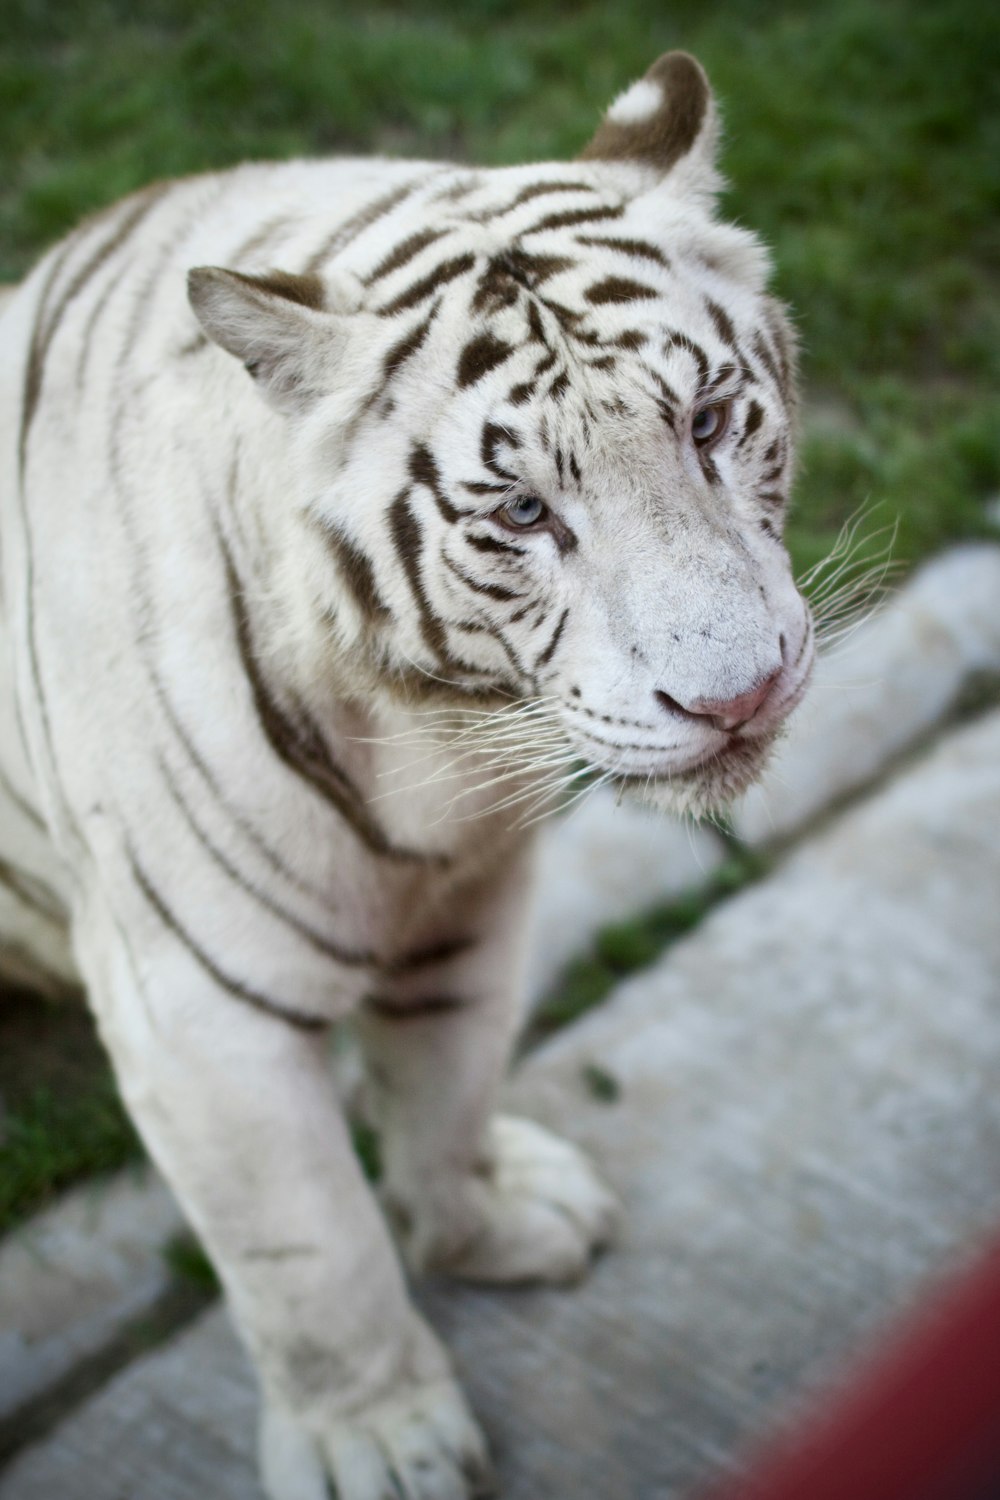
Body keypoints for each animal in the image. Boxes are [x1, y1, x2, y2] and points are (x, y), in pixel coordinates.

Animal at [1, 52, 815, 1500]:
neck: (432, 749)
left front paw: (489, 1226)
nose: (738, 697)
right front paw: (375, 1439)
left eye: (713, 422)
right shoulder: (195, 1007)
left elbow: (446, 1093)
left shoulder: (466, 908)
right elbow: (310, 1251)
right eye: (523, 513)